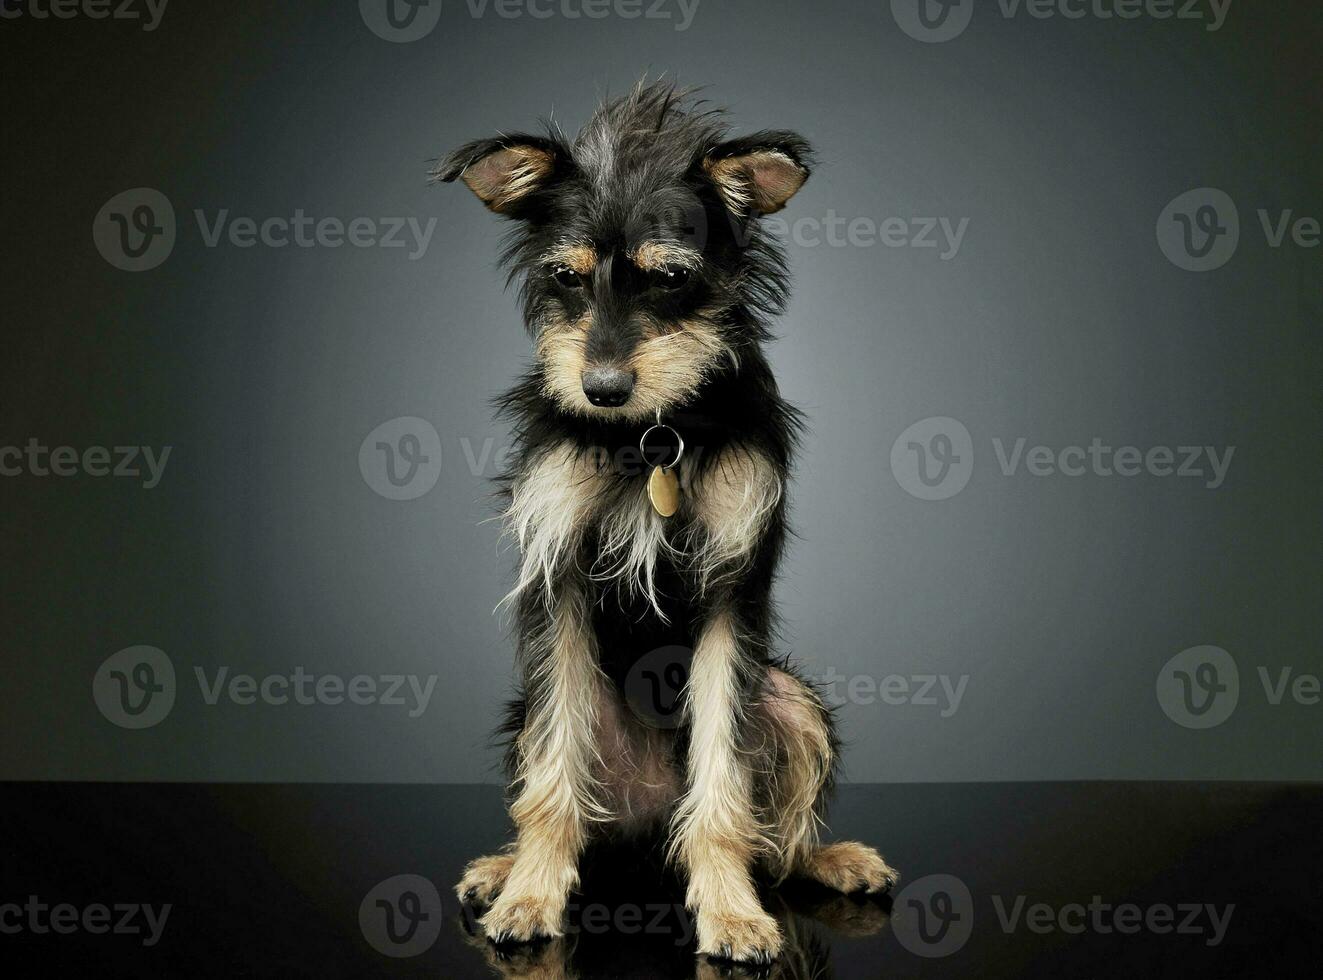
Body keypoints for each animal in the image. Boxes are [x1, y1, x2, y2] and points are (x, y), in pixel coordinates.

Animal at [433, 82, 899, 962]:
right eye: (565, 276)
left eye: (670, 278)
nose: (602, 388)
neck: (650, 431)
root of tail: (646, 822)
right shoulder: (560, 582)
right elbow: (551, 780)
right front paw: (530, 895)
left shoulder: (727, 589)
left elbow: (722, 783)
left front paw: (731, 912)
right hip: (528, 709)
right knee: (564, 790)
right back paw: (501, 868)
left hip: (791, 700)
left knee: (775, 839)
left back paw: (830, 858)